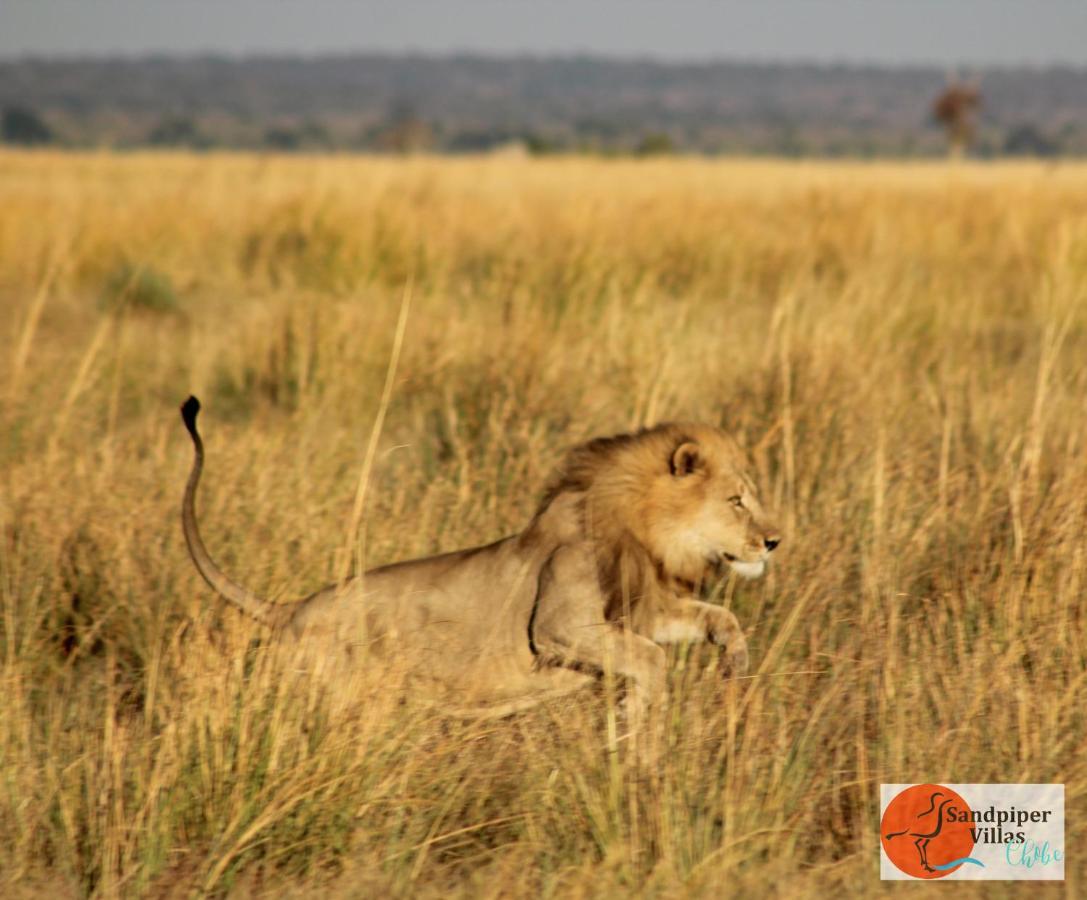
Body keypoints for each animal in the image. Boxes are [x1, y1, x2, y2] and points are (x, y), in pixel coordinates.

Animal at [178, 397, 778, 743]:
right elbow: (651, 659)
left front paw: (735, 665)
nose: (773, 542)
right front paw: (635, 726)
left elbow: (717, 617)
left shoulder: (640, 609)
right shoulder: (559, 625)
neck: (648, 532)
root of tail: (292, 609)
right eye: (736, 501)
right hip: (334, 698)